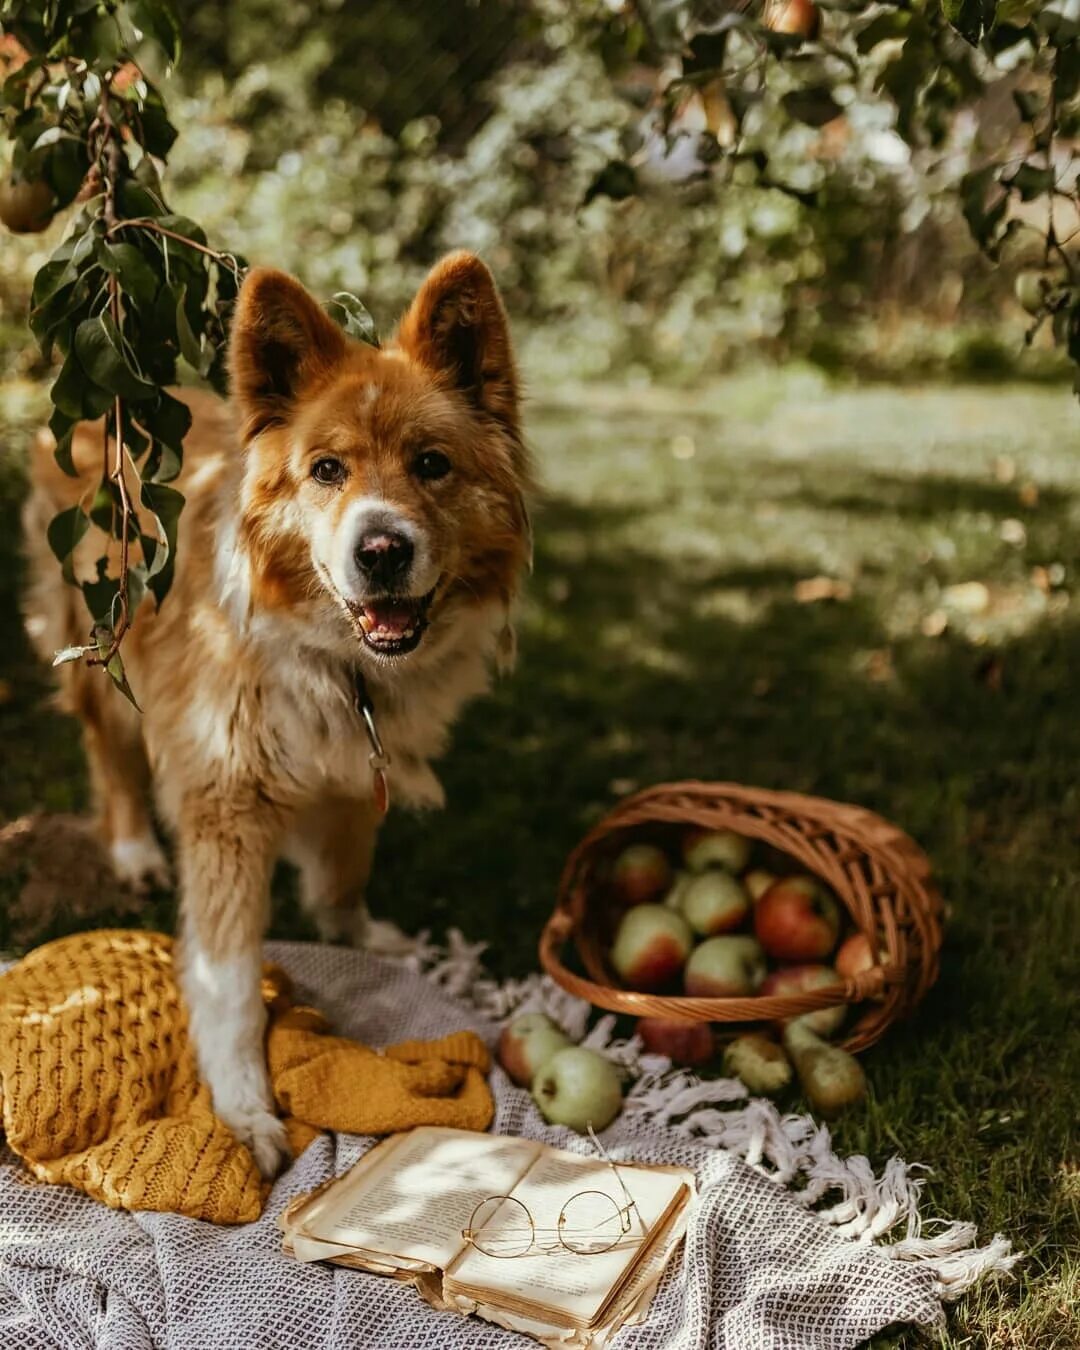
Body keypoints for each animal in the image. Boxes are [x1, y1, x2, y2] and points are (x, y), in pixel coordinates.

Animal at [24, 251, 531, 1171]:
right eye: (326, 470)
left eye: (431, 464)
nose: (382, 550)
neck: (339, 662)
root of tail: (98, 408)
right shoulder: (225, 805)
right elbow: (227, 981)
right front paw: (243, 1110)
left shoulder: (365, 761)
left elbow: (343, 874)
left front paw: (364, 939)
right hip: (103, 660)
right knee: (111, 762)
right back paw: (132, 849)